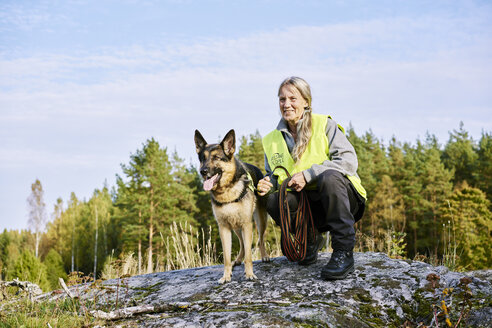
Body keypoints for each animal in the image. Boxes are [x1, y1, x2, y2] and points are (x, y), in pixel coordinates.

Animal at [194, 129, 270, 284]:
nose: (203, 171)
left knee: (260, 239)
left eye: (216, 157)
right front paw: (226, 276)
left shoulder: (247, 225)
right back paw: (238, 260)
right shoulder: (224, 228)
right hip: (235, 227)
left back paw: (264, 256)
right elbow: (227, 258)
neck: (227, 192)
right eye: (202, 158)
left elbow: (249, 256)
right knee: (241, 244)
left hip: (260, 221)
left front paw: (249, 274)